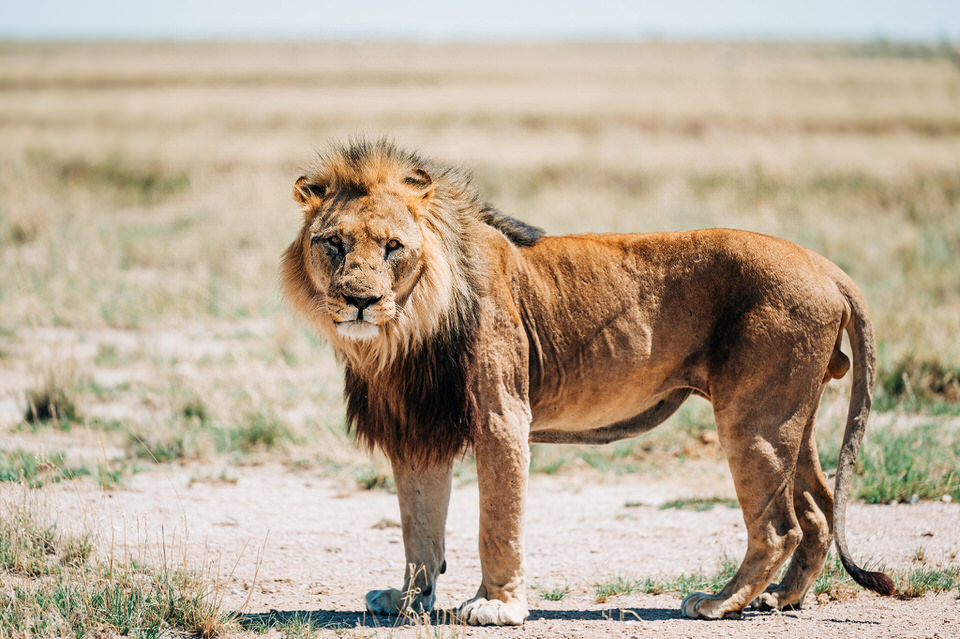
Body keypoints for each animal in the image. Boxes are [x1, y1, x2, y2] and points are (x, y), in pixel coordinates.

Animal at [280, 139, 894, 626]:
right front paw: (409, 600)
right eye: (334, 243)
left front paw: (497, 606)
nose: (360, 300)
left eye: (393, 247)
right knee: (818, 512)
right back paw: (782, 599)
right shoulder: (415, 427)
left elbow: (497, 521)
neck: (405, 331)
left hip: (752, 419)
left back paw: (720, 602)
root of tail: (825, 265)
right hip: (793, 416)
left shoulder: (502, 415)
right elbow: (418, 527)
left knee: (779, 526)